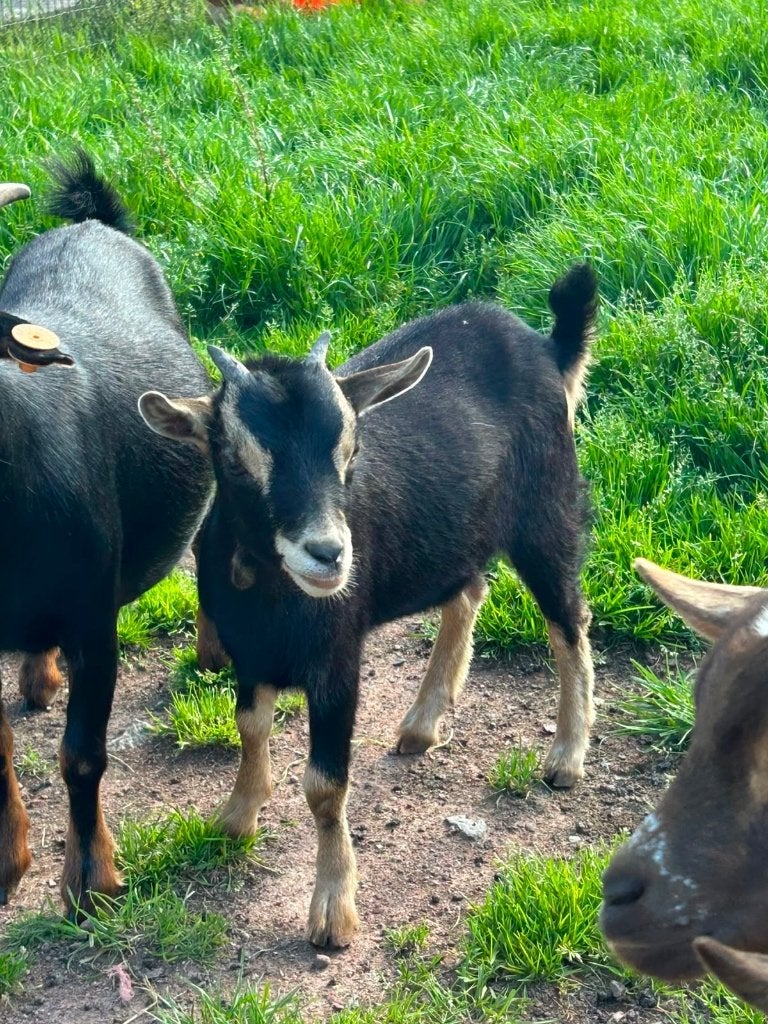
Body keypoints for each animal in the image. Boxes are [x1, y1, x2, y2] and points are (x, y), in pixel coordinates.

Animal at [0, 155, 211, 913]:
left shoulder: (94, 617)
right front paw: (9, 862)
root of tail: (92, 222)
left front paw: (91, 881)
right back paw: (37, 675)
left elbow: (83, 753)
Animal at [139, 265, 597, 946]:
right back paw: (422, 723)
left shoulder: (337, 661)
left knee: (568, 620)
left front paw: (333, 910)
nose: (329, 554)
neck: (273, 597)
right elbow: (249, 726)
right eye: (235, 459)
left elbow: (325, 785)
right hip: (456, 535)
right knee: (470, 591)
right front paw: (236, 816)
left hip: (547, 511)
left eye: (350, 450)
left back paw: (566, 756)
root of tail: (545, 347)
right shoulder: (249, 651)